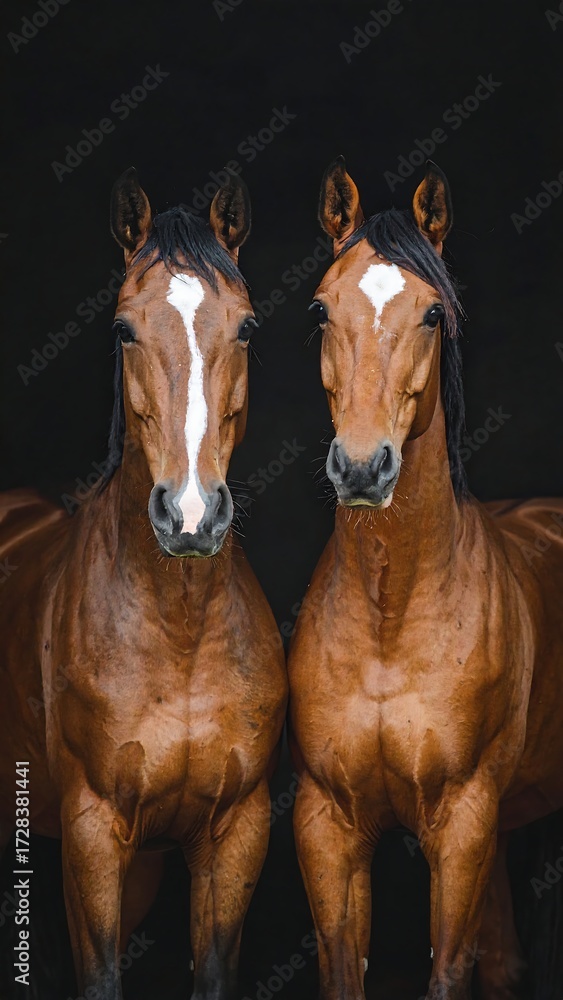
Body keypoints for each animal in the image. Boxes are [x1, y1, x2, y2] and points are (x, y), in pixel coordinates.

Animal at [0, 167, 287, 999]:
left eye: (246, 327)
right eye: (124, 330)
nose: (189, 514)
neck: (178, 632)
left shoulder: (234, 833)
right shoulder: (93, 834)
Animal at [288, 156, 563, 1000]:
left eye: (432, 314)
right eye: (320, 308)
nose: (361, 467)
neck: (391, 612)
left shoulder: (463, 822)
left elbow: (447, 970)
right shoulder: (327, 824)